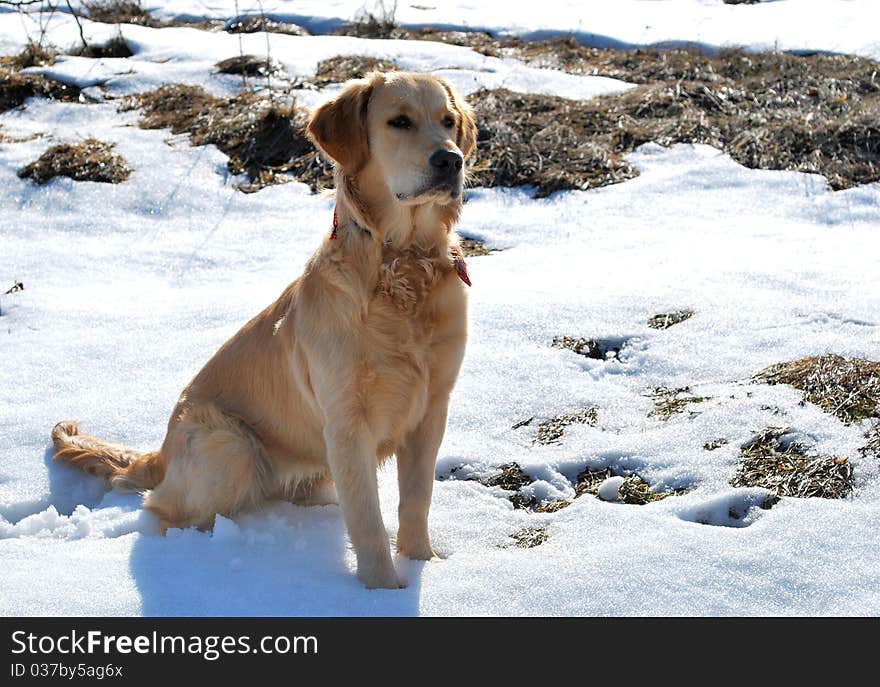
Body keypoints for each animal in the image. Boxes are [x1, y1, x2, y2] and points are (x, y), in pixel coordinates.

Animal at [51, 74, 478, 592]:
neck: (402, 264)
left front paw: (421, 566)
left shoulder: (431, 408)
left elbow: (415, 501)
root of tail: (162, 451)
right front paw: (380, 592)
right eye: (399, 122)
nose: (451, 160)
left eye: (448, 121)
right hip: (231, 447)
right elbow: (367, 519)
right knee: (161, 508)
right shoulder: (346, 422)